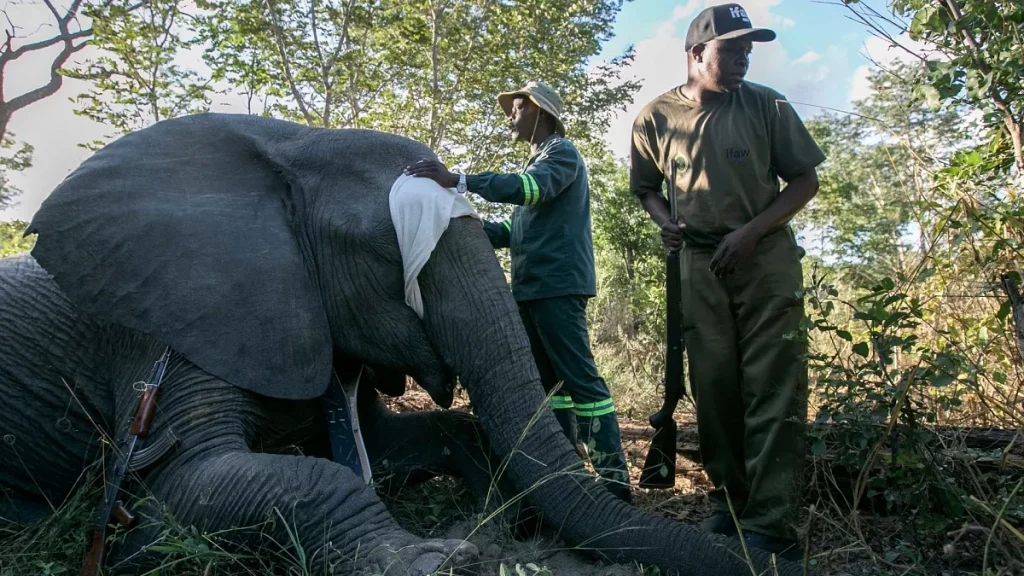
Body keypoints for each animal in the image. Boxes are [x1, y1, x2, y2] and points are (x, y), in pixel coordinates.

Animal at [0, 112, 811, 575]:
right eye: (391, 253)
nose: (773, 558)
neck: (288, 150)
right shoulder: (171, 325)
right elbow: (184, 493)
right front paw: (439, 560)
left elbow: (398, 444)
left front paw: (500, 523)